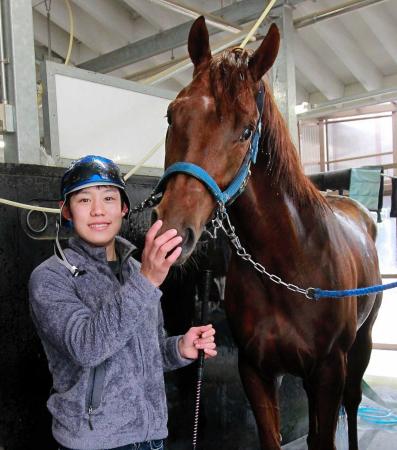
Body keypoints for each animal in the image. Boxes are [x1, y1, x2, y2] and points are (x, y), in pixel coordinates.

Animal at [154, 17, 380, 450]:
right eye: (171, 115)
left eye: (246, 131)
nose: (173, 230)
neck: (290, 262)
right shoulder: (256, 371)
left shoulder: (329, 370)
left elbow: (324, 435)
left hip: (361, 345)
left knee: (353, 403)